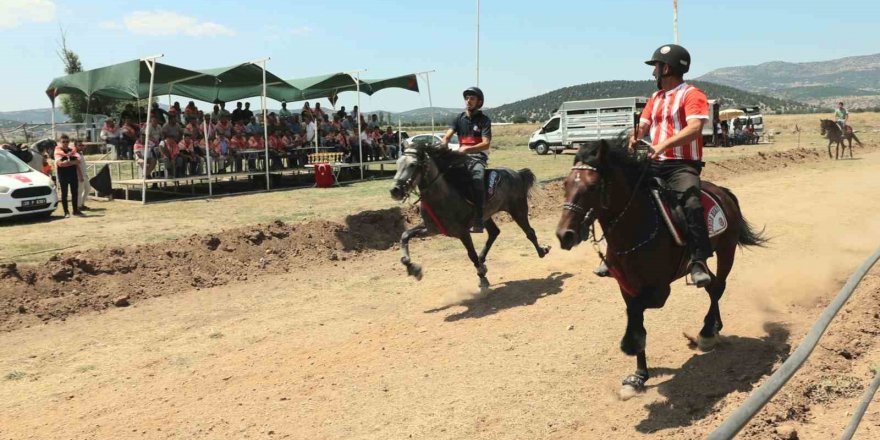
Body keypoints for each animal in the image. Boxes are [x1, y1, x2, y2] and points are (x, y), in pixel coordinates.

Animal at [392, 139, 552, 292]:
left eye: (412, 165)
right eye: (398, 163)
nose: (395, 190)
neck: (442, 196)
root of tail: (517, 173)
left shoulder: (462, 232)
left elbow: (471, 254)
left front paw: (483, 278)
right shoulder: (431, 229)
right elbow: (405, 235)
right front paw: (413, 268)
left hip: (518, 210)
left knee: (529, 232)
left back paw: (542, 251)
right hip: (486, 216)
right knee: (494, 232)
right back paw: (483, 261)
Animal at [556, 139, 768, 400]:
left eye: (593, 186)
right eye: (566, 184)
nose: (565, 235)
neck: (638, 226)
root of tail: (722, 192)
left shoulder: (659, 291)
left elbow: (636, 314)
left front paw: (629, 344)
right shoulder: (627, 286)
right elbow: (635, 316)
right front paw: (638, 377)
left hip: (726, 250)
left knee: (718, 286)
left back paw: (707, 333)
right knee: (710, 285)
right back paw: (714, 327)